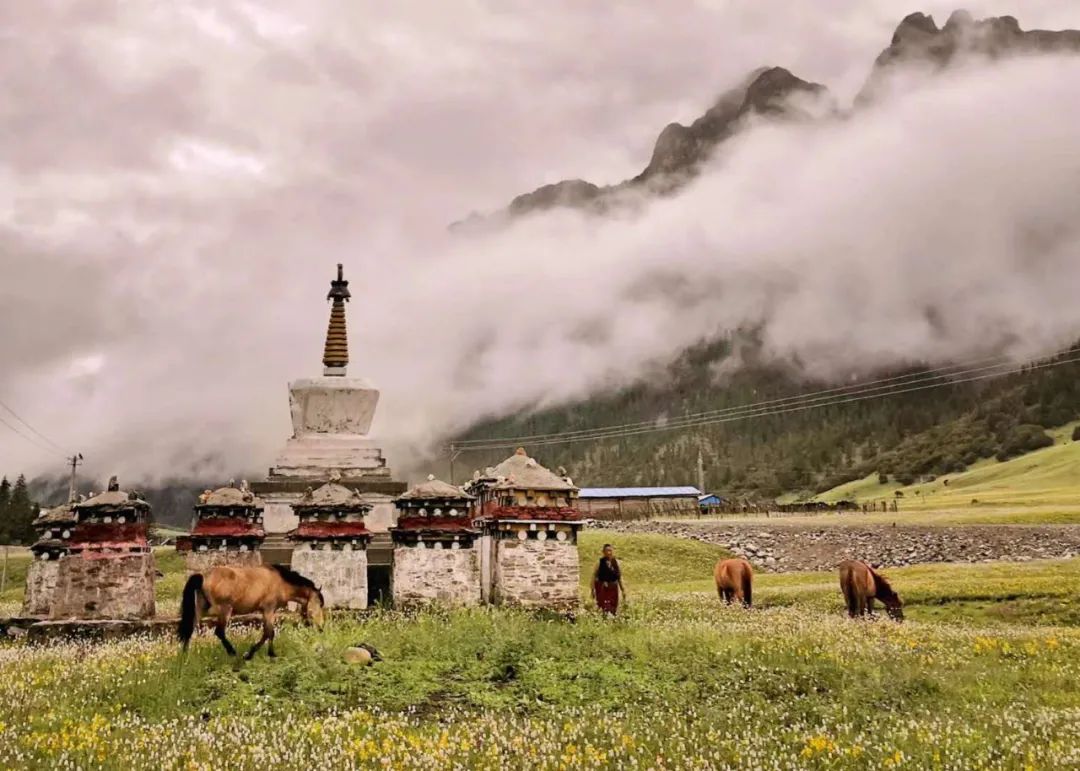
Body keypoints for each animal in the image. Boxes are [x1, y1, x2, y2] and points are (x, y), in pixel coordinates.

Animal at [178, 561, 324, 656]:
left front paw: (271, 653)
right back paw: (232, 652)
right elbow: (268, 633)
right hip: (224, 610)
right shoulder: (269, 610)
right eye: (320, 604)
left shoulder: (266, 611)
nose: (321, 628)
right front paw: (250, 654)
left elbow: (269, 633)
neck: (281, 582)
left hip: (200, 609)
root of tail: (203, 576)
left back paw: (185, 657)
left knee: (190, 629)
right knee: (219, 632)